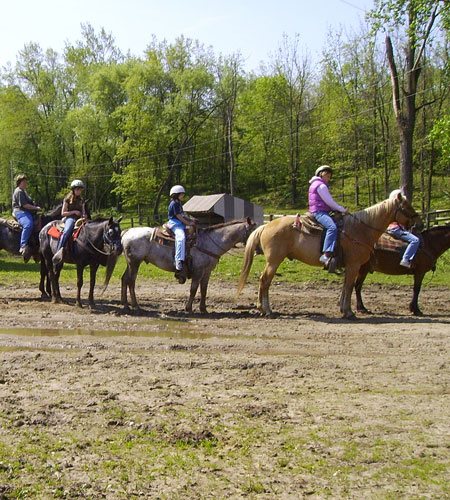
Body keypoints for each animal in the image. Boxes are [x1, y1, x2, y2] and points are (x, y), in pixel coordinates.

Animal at [120, 218, 256, 312]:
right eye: (253, 231)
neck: (209, 242)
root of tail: (127, 231)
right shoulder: (198, 271)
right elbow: (193, 289)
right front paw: (189, 308)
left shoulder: (207, 272)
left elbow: (204, 289)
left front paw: (203, 309)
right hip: (135, 263)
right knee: (131, 281)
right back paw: (135, 305)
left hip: (130, 263)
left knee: (124, 279)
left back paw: (125, 304)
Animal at [237, 193, 420, 318]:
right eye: (406, 205)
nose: (418, 223)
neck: (360, 229)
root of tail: (265, 226)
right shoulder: (354, 266)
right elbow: (349, 287)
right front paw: (349, 312)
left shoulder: (350, 267)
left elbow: (345, 287)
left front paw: (343, 309)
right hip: (274, 261)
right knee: (265, 280)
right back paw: (267, 310)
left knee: (264, 281)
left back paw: (263, 308)